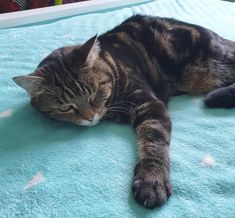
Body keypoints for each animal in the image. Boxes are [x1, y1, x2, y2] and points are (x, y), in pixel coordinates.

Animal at [13, 14, 235, 209]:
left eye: (95, 93)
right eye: (66, 107)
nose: (90, 118)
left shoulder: (150, 105)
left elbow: (153, 143)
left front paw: (151, 180)